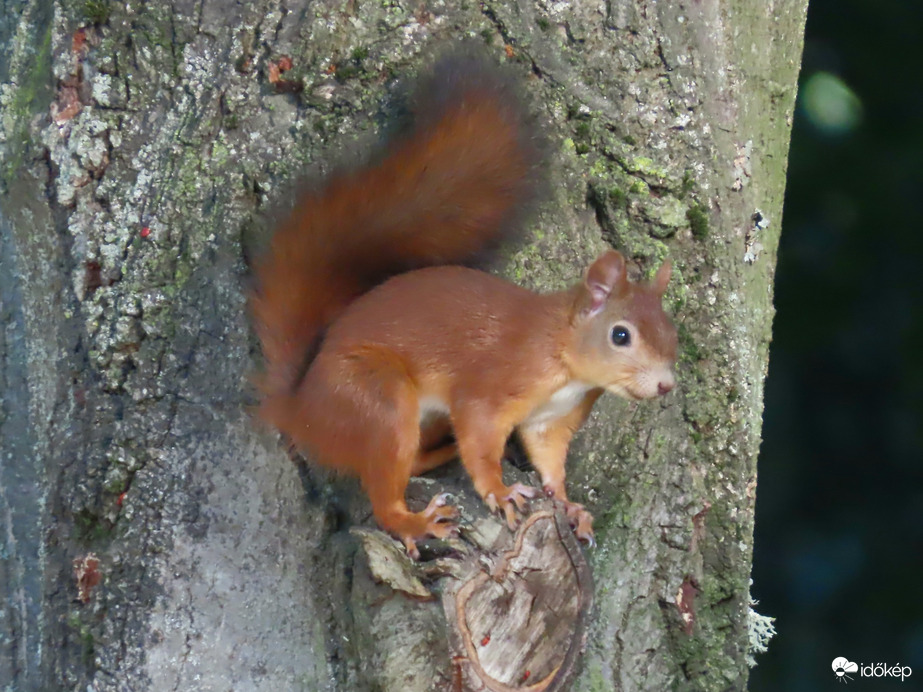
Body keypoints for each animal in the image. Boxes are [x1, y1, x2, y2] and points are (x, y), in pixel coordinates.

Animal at [253, 55, 680, 564]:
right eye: (621, 335)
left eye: (673, 334)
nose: (666, 385)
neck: (563, 357)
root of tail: (299, 407)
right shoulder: (492, 386)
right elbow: (479, 438)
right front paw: (501, 490)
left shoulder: (551, 420)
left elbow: (550, 461)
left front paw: (569, 505)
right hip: (377, 400)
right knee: (383, 491)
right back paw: (414, 521)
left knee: (409, 461)